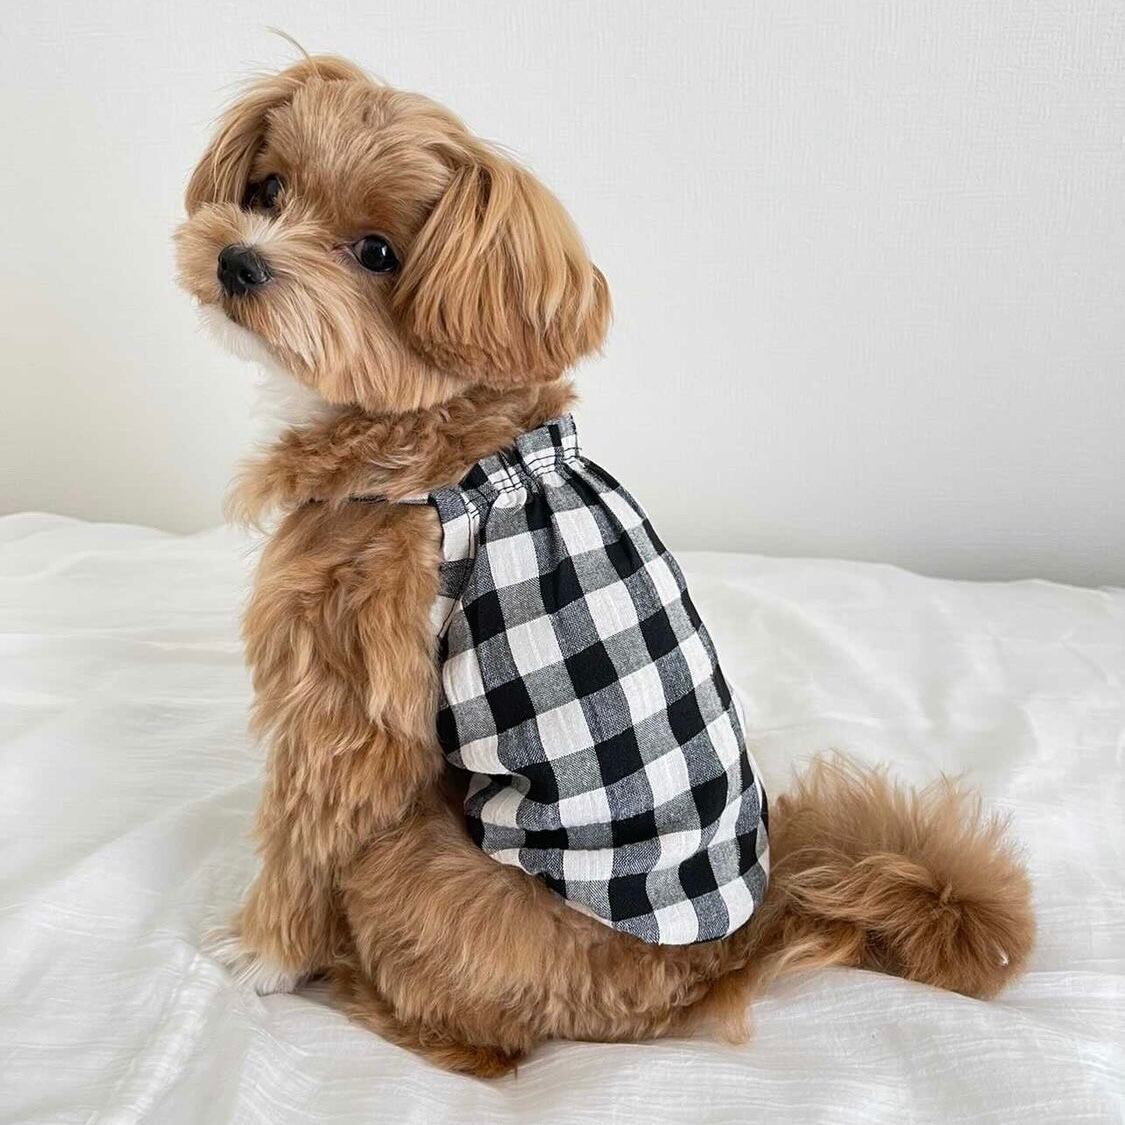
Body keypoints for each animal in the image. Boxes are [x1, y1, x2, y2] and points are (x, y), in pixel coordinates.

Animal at [175, 54, 1034, 1077]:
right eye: (268, 190)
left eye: (377, 253)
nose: (238, 260)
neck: (429, 435)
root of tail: (717, 958)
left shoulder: (344, 700)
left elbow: (305, 833)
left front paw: (264, 952)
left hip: (415, 872)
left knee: (486, 1042)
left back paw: (359, 986)